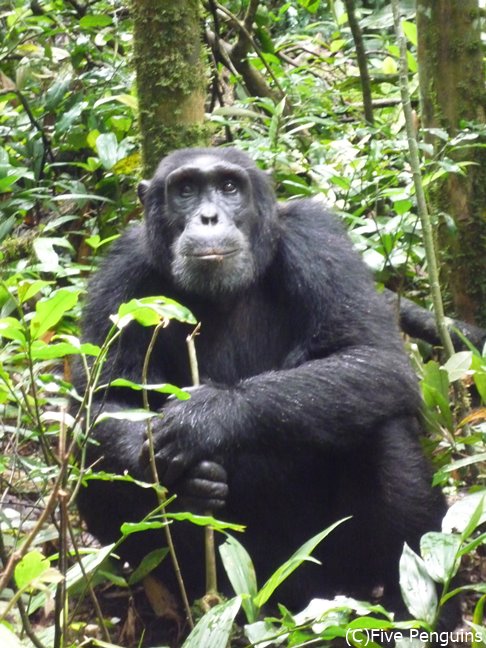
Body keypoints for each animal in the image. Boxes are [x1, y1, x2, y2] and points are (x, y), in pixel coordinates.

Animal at [77, 147, 456, 624]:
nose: (208, 216)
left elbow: (372, 355)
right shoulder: (120, 275)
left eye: (229, 187)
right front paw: (180, 478)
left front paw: (203, 419)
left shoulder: (317, 241)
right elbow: (104, 400)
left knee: (378, 427)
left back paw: (422, 607)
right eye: (185, 190)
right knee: (92, 462)